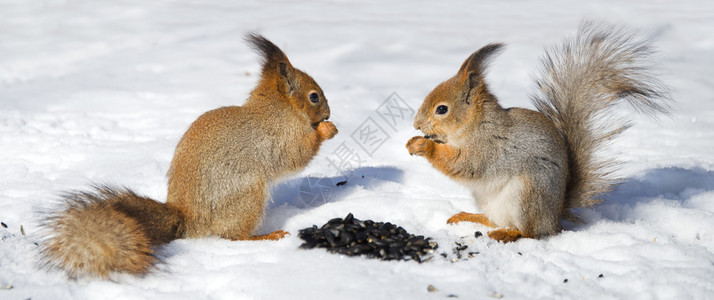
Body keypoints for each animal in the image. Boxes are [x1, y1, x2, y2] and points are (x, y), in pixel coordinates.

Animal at [39, 34, 340, 278]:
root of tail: (188, 221)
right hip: (247, 195)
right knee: (232, 237)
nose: (328, 113)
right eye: (314, 96)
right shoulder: (281, 137)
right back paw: (267, 236)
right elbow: (297, 156)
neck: (278, 108)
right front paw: (326, 130)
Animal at [406, 22, 668, 244]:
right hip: (491, 201)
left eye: (442, 109)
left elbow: (463, 164)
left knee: (529, 232)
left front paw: (424, 146)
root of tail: (554, 218)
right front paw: (412, 142)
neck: (476, 124)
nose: (416, 124)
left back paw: (508, 234)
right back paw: (469, 217)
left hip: (526, 195)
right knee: (494, 220)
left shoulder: (488, 148)